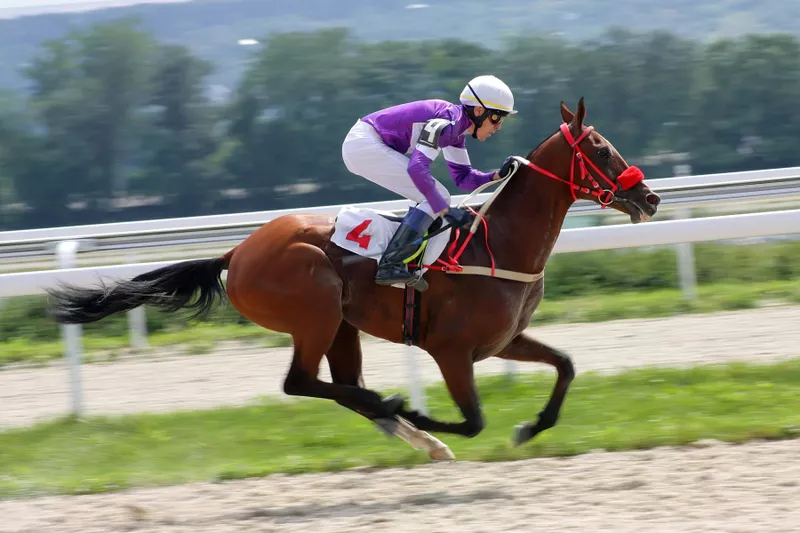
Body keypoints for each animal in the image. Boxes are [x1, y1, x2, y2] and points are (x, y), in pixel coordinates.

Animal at [48, 97, 664, 460]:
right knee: (301, 383)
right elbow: (473, 420)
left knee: (339, 384)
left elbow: (566, 366)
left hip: (342, 326)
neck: (498, 242)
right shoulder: (451, 349)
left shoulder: (503, 340)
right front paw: (418, 410)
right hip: (315, 309)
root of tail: (237, 250)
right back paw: (399, 414)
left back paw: (407, 428)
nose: (650, 197)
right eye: (601, 148)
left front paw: (530, 428)